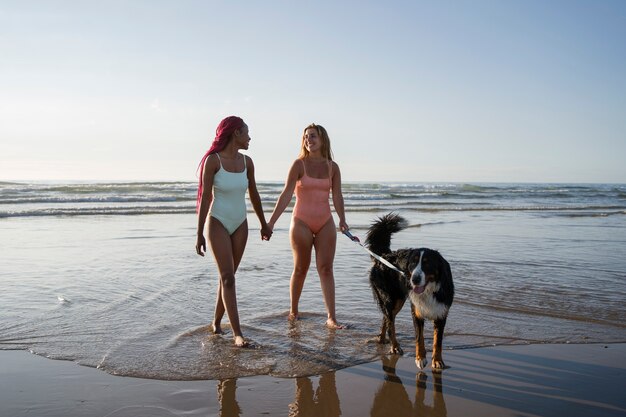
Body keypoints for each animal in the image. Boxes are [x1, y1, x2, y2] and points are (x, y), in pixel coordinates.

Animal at [364, 213, 450, 368]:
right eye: (412, 263)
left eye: (427, 264)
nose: (414, 279)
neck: (428, 291)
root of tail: (384, 256)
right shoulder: (416, 312)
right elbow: (419, 338)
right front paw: (420, 358)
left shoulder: (441, 312)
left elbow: (438, 342)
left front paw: (437, 360)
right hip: (391, 299)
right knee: (390, 323)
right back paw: (394, 346)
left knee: (386, 319)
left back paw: (382, 339)